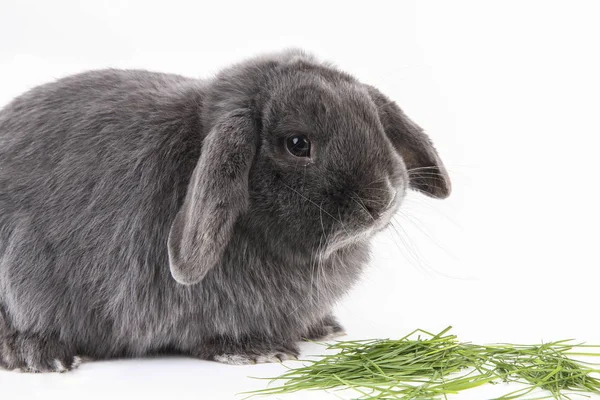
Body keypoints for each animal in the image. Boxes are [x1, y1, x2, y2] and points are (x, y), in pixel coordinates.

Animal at [0, 49, 450, 372]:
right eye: (297, 143)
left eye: (373, 121)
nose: (382, 200)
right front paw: (258, 352)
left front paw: (323, 328)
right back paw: (42, 354)